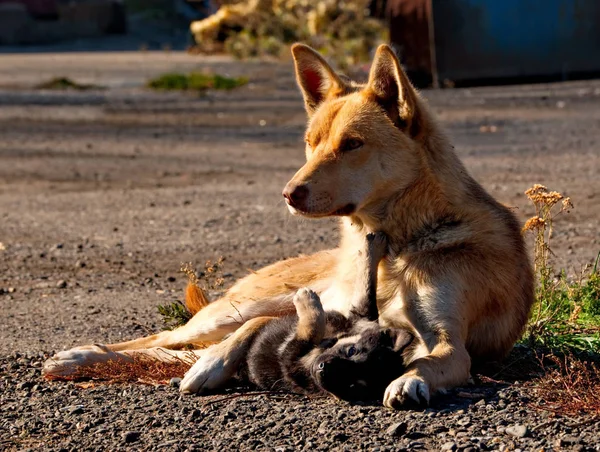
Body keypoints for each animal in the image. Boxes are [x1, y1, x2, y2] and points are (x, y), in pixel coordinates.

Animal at [241, 233, 414, 402]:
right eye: (352, 350)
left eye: (352, 386)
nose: (324, 370)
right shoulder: (361, 316)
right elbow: (367, 289)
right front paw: (373, 246)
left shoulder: (290, 356)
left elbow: (312, 327)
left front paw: (306, 299)